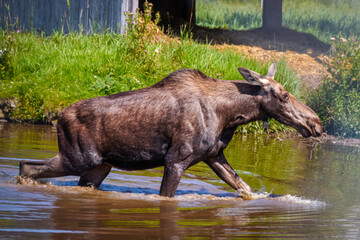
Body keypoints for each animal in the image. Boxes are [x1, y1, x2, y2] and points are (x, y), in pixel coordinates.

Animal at [19, 62, 322, 199]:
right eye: (284, 96)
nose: (316, 123)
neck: (230, 115)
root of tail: (59, 116)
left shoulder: (214, 155)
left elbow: (244, 188)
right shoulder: (176, 159)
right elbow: (166, 196)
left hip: (99, 166)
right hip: (79, 157)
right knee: (26, 166)